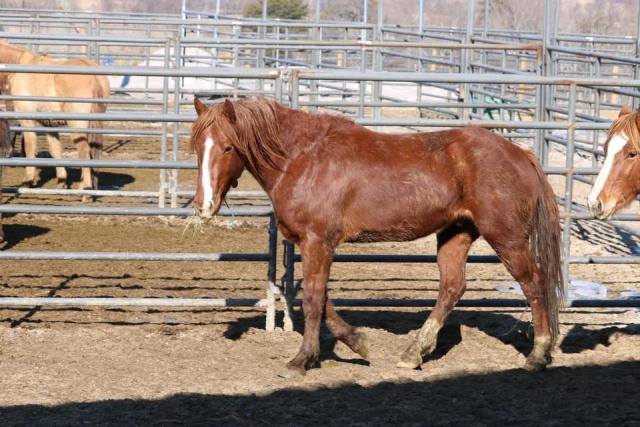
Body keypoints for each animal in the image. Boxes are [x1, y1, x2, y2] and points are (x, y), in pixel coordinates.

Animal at [0, 40, 109, 192]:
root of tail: (94, 78)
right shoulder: (49, 124)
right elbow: (55, 150)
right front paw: (61, 181)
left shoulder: (28, 121)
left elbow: (29, 147)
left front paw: (28, 181)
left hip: (77, 125)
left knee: (84, 151)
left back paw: (85, 188)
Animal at [191, 97, 564, 374]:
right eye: (197, 146)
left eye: (227, 147)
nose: (203, 206)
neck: (302, 159)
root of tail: (521, 154)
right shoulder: (317, 245)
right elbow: (321, 299)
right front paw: (357, 342)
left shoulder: (318, 242)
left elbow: (312, 299)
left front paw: (303, 359)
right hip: (456, 234)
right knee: (452, 288)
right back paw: (414, 353)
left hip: (507, 238)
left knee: (533, 283)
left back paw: (538, 354)